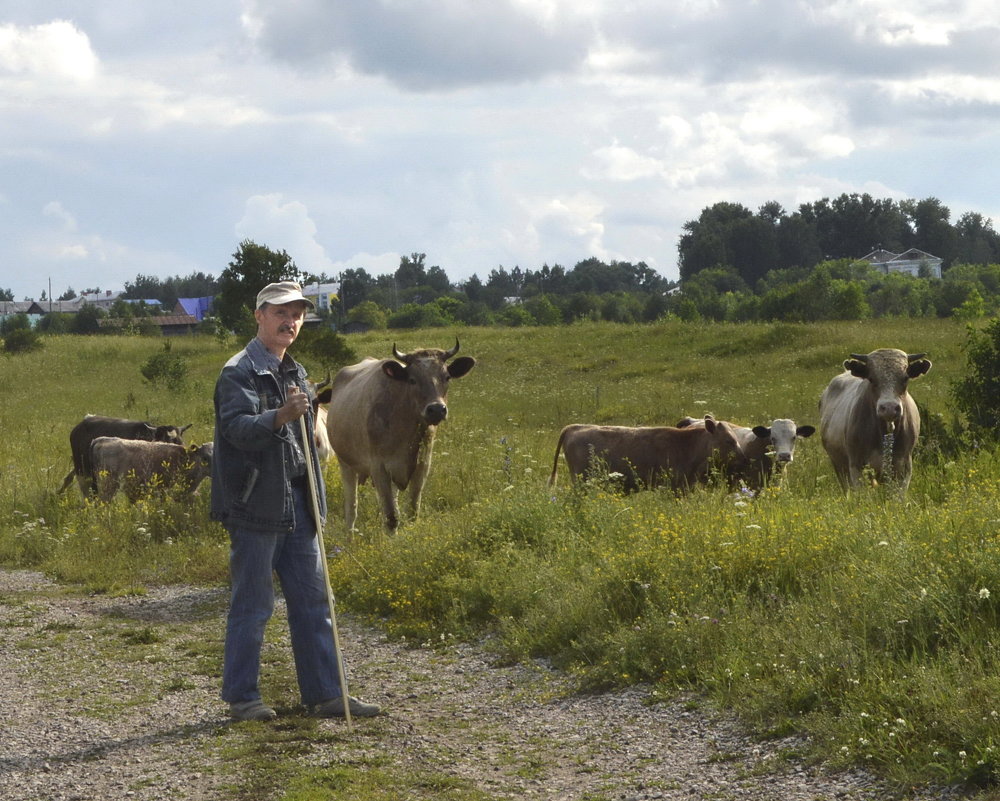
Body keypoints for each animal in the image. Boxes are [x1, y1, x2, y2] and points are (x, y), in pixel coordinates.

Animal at [322, 340, 474, 532]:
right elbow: (391, 517)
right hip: (346, 464)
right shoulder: (378, 467)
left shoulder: (422, 466)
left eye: (446, 377)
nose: (437, 409)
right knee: (351, 510)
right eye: (412, 380)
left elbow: (412, 512)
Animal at [816, 346, 932, 490]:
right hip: (839, 466)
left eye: (905, 378)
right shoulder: (856, 467)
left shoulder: (904, 467)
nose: (889, 407)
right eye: (871, 379)